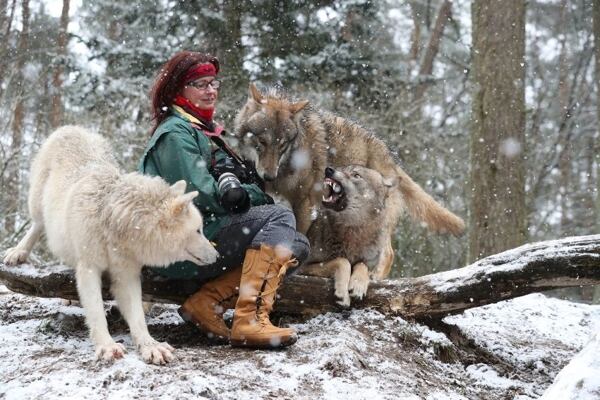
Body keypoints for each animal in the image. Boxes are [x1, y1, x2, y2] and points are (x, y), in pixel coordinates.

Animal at [2, 126, 219, 364]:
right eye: (198, 230)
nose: (217, 255)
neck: (113, 224)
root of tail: (74, 128)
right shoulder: (89, 269)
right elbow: (97, 312)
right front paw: (107, 346)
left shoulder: (127, 275)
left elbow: (138, 316)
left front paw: (150, 346)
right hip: (38, 203)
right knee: (37, 225)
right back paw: (19, 252)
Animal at [233, 84, 465, 278]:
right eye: (262, 141)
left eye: (282, 145)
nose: (268, 176)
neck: (285, 166)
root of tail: (389, 155)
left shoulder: (306, 200)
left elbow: (300, 232)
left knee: (389, 253)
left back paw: (374, 278)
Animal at [299, 165, 394, 306]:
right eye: (343, 168)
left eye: (356, 175)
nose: (329, 169)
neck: (353, 230)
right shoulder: (303, 267)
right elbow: (343, 261)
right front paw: (343, 294)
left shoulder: (368, 264)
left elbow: (361, 265)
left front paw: (358, 285)